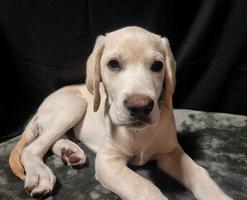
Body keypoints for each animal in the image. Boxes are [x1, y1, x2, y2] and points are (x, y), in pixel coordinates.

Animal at [8, 26, 232, 200]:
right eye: (113, 64)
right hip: (74, 106)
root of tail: (38, 109)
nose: (140, 107)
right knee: (33, 147)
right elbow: (144, 187)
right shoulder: (108, 161)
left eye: (158, 65)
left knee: (53, 140)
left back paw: (70, 152)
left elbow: (200, 173)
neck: (138, 133)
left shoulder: (170, 153)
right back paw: (40, 174)